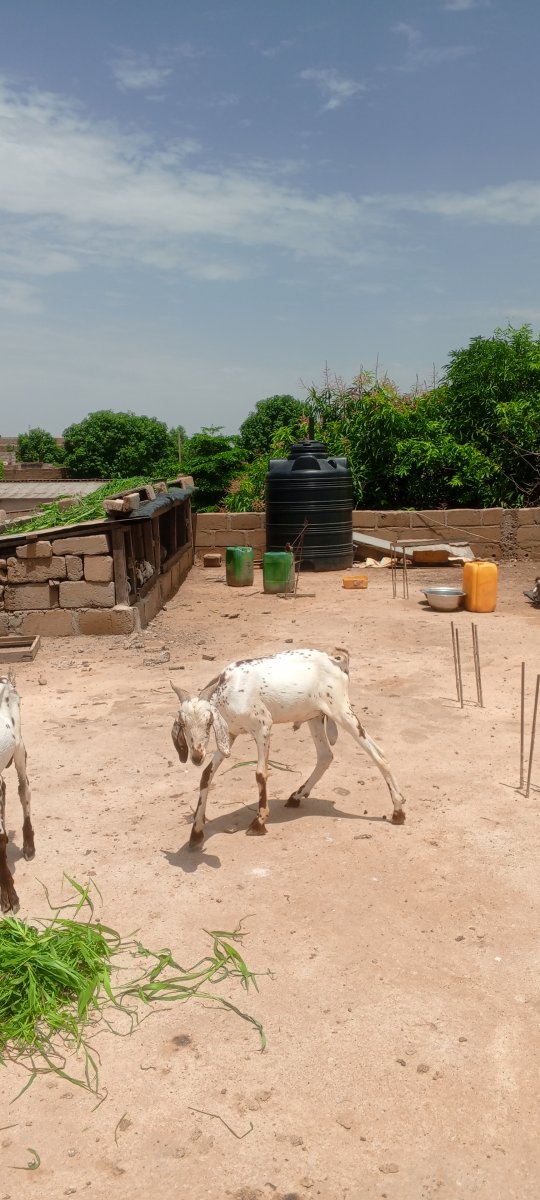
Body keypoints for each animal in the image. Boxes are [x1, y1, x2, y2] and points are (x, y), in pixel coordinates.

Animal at [171, 647, 405, 849]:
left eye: (208, 721)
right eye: (183, 724)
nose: (196, 756)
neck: (228, 692)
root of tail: (336, 661)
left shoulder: (263, 726)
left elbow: (260, 773)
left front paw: (259, 822)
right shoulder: (229, 735)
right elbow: (206, 776)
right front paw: (196, 832)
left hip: (341, 710)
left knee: (379, 754)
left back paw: (398, 811)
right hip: (315, 716)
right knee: (325, 756)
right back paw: (296, 796)